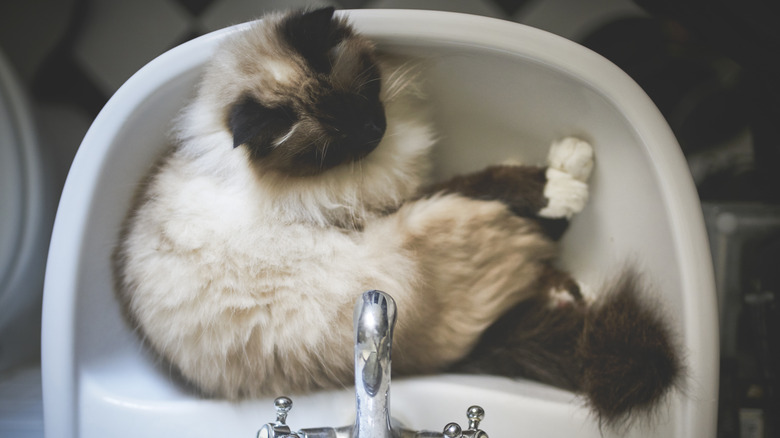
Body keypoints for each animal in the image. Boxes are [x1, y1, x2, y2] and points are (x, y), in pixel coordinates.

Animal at [111, 6, 684, 428]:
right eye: (332, 146)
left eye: (362, 93)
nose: (374, 130)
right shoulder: (402, 199)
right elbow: (490, 179)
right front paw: (560, 183)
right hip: (429, 230)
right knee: (532, 241)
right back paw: (569, 190)